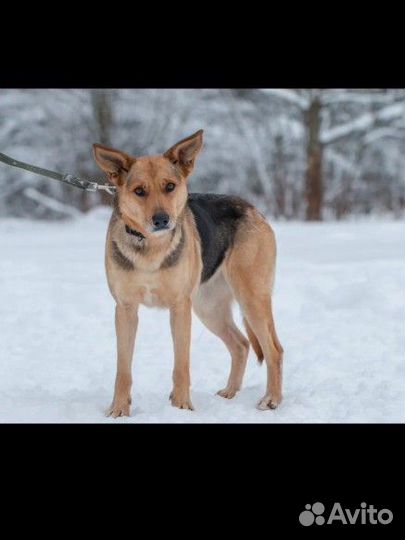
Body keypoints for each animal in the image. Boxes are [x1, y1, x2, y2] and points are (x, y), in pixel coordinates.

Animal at [92, 129, 282, 416]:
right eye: (139, 191)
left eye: (170, 186)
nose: (161, 220)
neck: (152, 247)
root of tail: (252, 208)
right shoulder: (125, 309)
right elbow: (123, 369)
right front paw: (119, 409)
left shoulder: (180, 307)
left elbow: (181, 364)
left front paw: (181, 406)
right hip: (209, 308)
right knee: (241, 344)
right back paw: (230, 392)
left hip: (251, 299)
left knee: (274, 350)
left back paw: (272, 399)